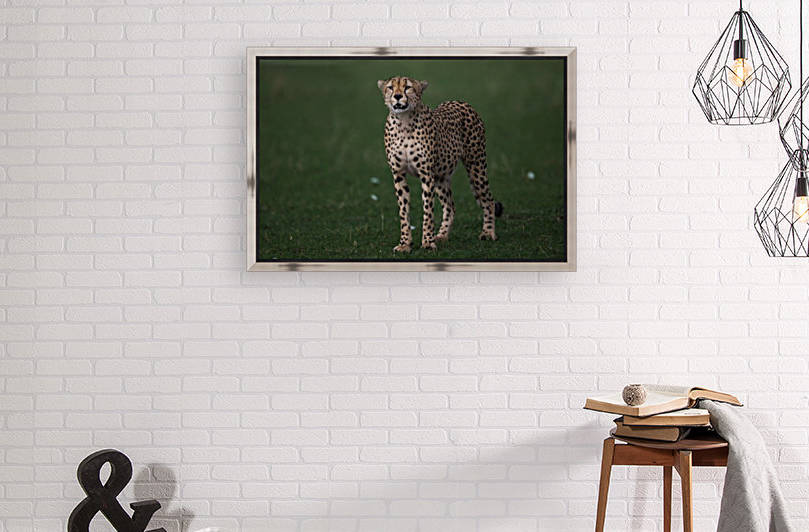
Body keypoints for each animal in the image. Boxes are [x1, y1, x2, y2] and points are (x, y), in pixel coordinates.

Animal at [378, 76, 503, 253]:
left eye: (407, 87)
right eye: (390, 87)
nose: (397, 96)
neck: (404, 121)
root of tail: (461, 102)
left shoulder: (426, 175)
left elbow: (428, 210)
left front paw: (427, 242)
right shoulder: (398, 174)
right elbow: (403, 211)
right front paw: (405, 243)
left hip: (476, 166)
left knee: (489, 201)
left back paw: (488, 232)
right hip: (441, 177)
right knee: (450, 206)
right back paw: (442, 235)